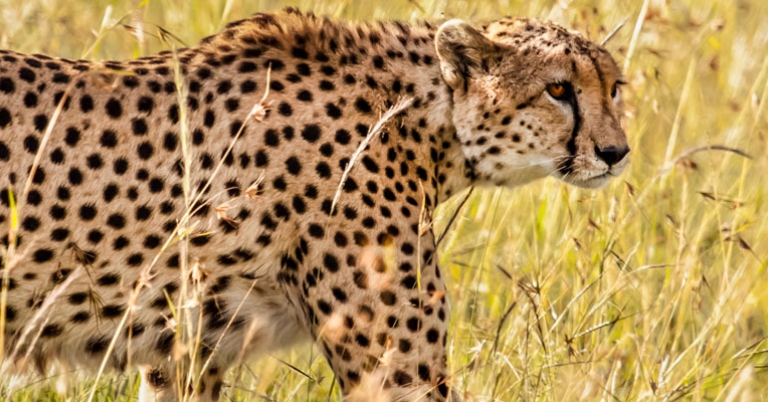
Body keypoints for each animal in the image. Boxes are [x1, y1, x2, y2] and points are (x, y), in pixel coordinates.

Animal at [0, 7, 629, 402]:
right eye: (558, 90)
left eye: (614, 88)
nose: (616, 152)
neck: (417, 115)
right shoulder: (397, 373)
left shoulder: (184, 353)